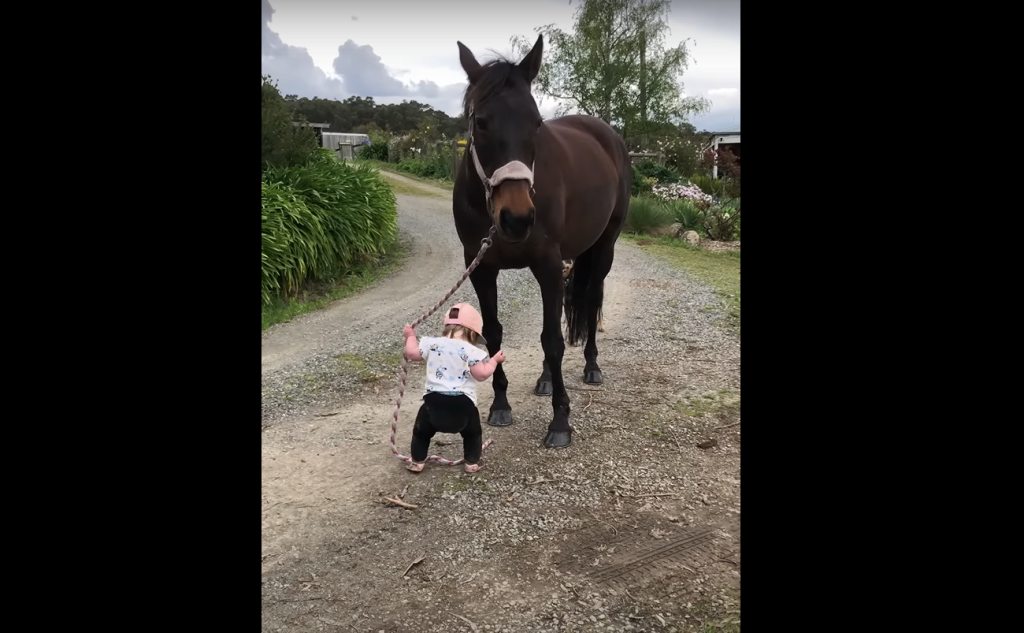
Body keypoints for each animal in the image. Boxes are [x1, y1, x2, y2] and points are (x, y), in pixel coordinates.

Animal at [450, 34, 626, 446]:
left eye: (536, 123)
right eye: (480, 122)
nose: (516, 218)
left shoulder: (546, 261)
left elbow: (553, 340)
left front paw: (560, 420)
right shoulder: (481, 267)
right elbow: (494, 334)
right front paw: (500, 404)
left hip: (603, 248)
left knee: (591, 299)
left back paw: (591, 366)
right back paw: (546, 378)